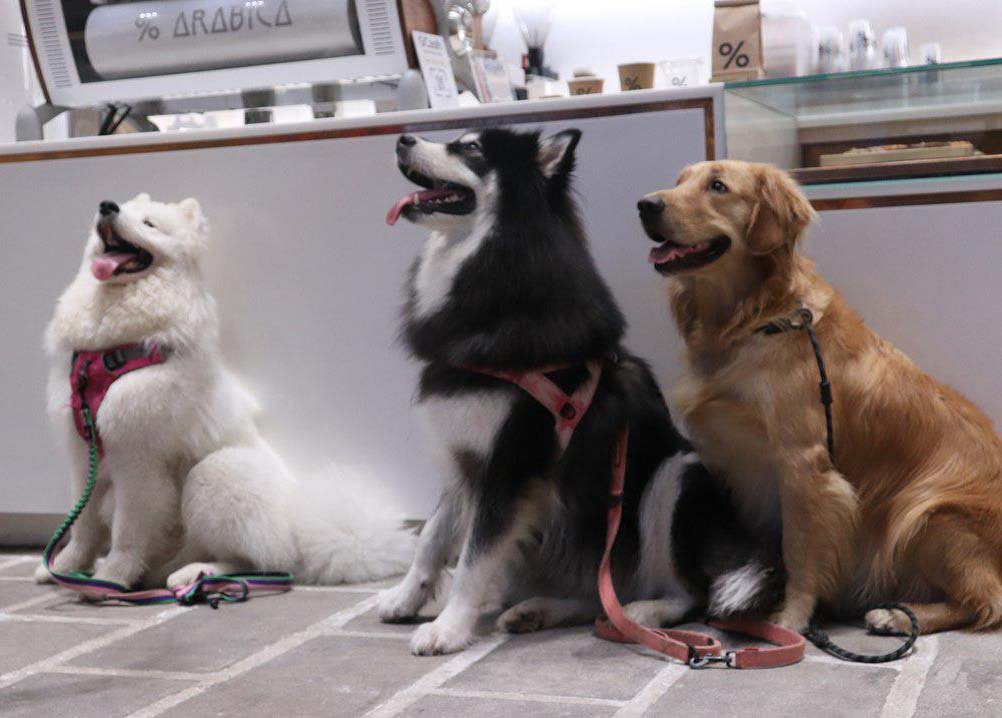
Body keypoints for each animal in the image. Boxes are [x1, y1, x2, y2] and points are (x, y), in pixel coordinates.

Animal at [38, 194, 414, 588]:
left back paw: (194, 573)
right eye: (122, 208)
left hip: (215, 471)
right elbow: (82, 523)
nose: (107, 206)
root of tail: (298, 534)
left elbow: (128, 533)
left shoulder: (137, 461)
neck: (111, 350)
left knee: (258, 563)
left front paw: (110, 578)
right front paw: (64, 567)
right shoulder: (85, 454)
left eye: (149, 224)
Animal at [378, 126, 777, 652]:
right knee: (597, 591)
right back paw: (539, 610)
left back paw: (642, 613)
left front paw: (448, 627)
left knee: (688, 592)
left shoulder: (511, 464)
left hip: (673, 475)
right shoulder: (464, 458)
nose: (402, 138)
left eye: (471, 148)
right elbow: (432, 538)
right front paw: (405, 598)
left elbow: (474, 556)